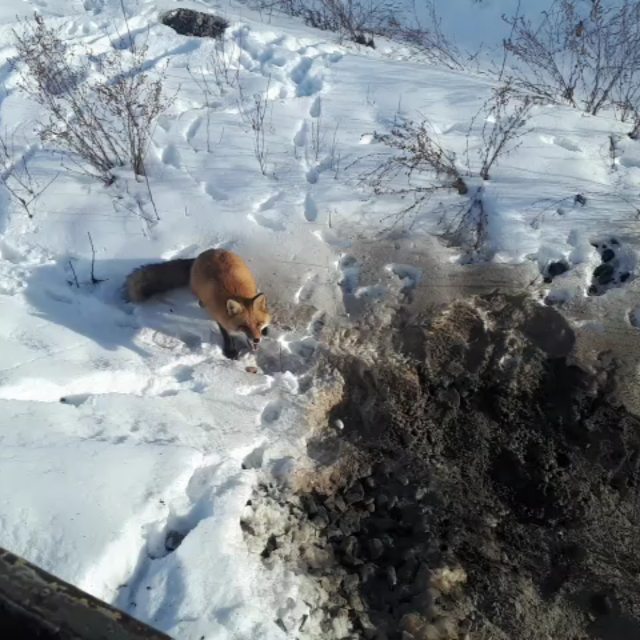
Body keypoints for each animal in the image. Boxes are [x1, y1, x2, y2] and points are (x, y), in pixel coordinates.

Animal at [125, 248, 271, 359]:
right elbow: (226, 334)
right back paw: (201, 303)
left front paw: (266, 330)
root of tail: (204, 253)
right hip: (197, 290)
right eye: (243, 326)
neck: (236, 292)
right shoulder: (218, 314)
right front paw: (230, 351)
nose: (256, 339)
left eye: (258, 324)